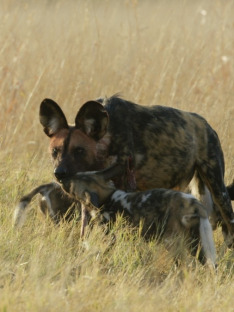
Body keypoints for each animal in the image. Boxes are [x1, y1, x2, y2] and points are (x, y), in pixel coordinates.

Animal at [39, 94, 234, 246]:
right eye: (55, 151)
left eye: (79, 151)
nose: (60, 173)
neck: (107, 139)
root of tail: (206, 124)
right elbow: (85, 229)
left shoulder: (123, 189)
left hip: (218, 190)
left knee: (229, 224)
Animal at [61, 166, 217, 268]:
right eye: (77, 174)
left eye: (70, 186)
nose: (61, 178)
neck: (106, 198)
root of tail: (194, 202)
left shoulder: (110, 238)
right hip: (197, 242)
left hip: (174, 242)